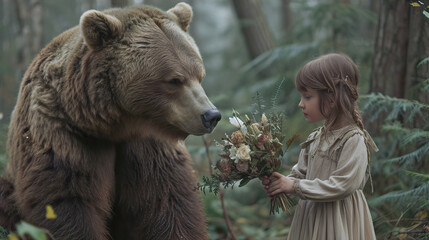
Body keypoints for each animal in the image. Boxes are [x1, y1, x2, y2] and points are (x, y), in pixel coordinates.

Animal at [0, 2, 221, 240]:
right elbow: (67, 202)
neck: (114, 126)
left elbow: (167, 200)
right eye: (174, 80)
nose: (211, 115)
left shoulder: (148, 146)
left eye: (199, 75)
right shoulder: (64, 136)